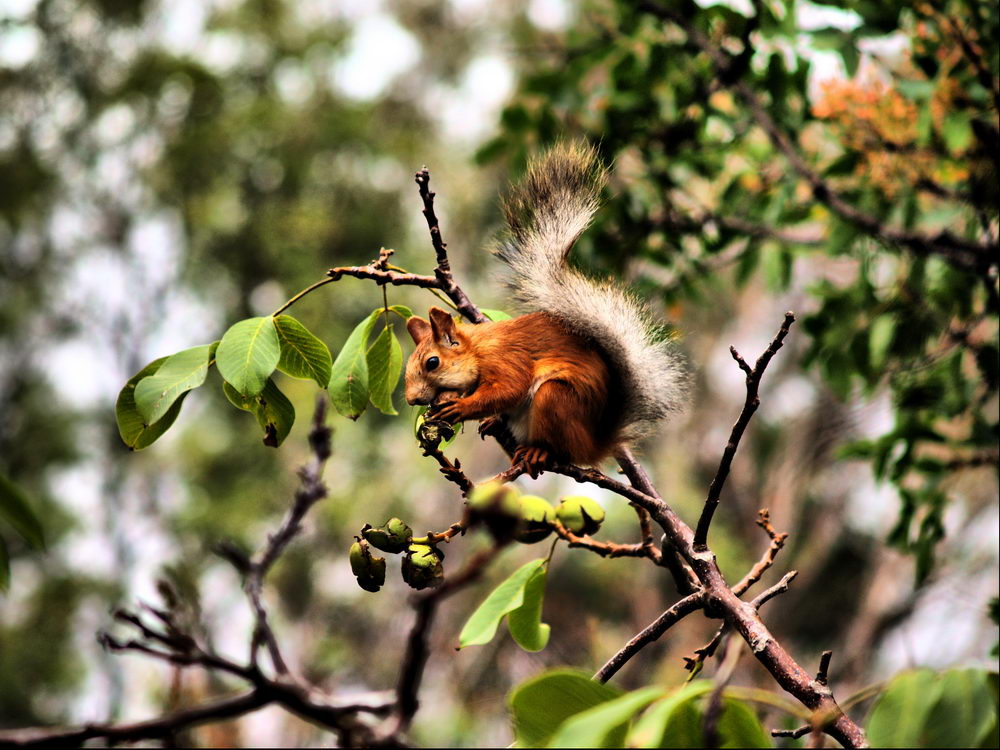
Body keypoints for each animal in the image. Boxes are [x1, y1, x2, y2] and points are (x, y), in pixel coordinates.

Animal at [404, 142, 686, 477]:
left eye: (432, 363)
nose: (411, 400)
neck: (478, 349)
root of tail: (593, 445)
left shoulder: (506, 360)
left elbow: (510, 389)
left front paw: (461, 407)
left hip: (556, 399)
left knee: (559, 446)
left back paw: (541, 451)